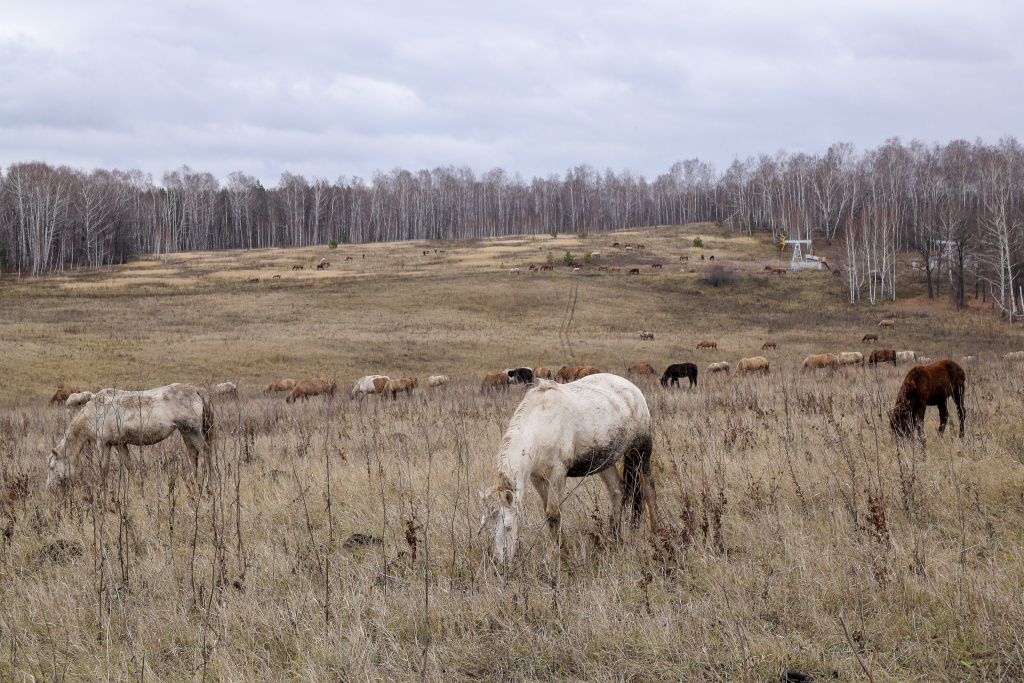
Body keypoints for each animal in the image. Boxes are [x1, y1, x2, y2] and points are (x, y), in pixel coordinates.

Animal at [50, 382, 215, 489]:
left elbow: (104, 469)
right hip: (185, 432)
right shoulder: (120, 444)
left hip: (192, 430)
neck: (94, 412)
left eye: (51, 467)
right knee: (193, 453)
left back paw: (209, 483)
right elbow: (129, 465)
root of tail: (196, 390)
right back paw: (193, 481)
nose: (51, 489)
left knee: (205, 451)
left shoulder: (103, 444)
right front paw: (137, 486)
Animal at [479, 376, 655, 565]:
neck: (541, 423)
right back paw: (613, 537)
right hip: (606, 462)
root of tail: (632, 388)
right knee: (617, 490)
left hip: (641, 451)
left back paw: (656, 531)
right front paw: (563, 549)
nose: (499, 562)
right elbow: (550, 511)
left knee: (648, 490)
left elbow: (553, 514)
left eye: (509, 526)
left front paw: (551, 557)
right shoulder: (537, 478)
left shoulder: (557, 472)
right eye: (487, 526)